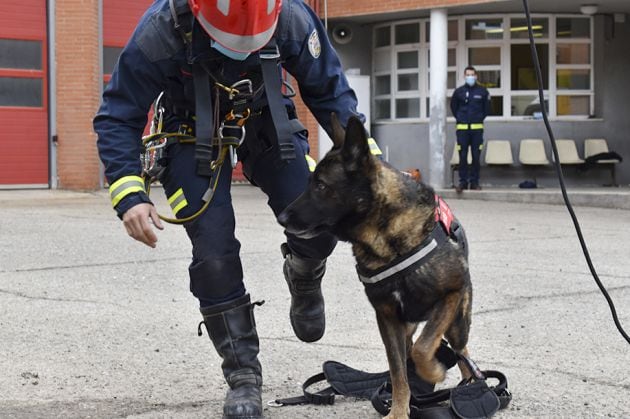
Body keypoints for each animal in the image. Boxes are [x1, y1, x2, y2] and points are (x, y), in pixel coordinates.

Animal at [278, 115, 474, 419]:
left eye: (320, 185)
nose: (282, 217)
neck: (387, 238)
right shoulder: (388, 319)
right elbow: (398, 372)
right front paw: (399, 409)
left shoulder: (451, 294)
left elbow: (424, 348)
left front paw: (433, 372)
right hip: (409, 326)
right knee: (412, 351)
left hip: (457, 323)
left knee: (462, 352)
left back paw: (471, 385)